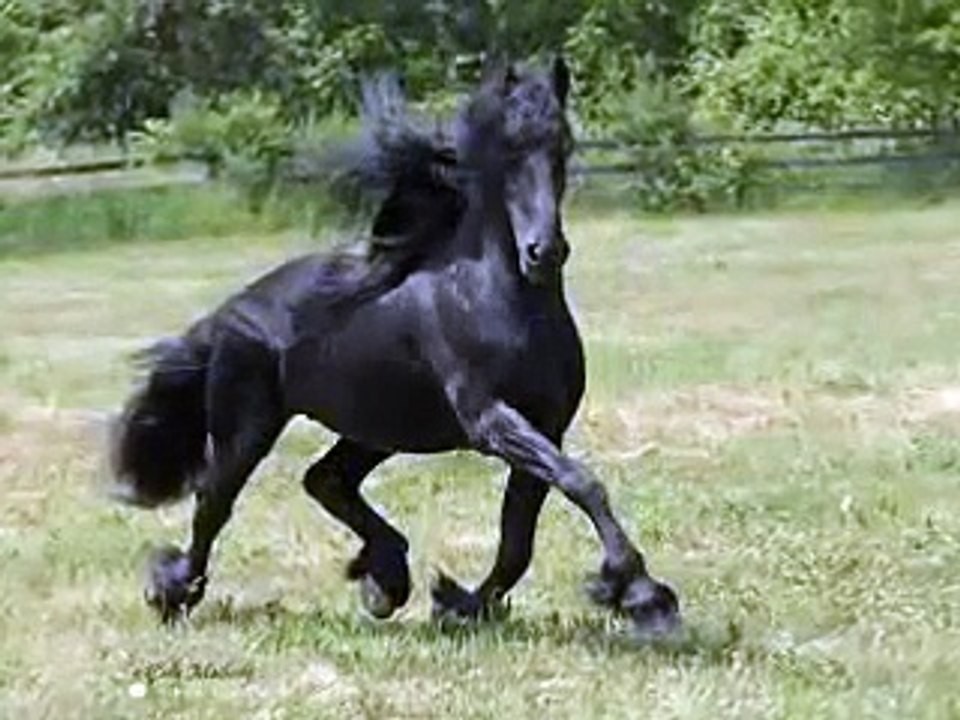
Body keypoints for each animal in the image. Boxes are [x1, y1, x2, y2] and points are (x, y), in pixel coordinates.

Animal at [110, 58, 681, 637]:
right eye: (508, 150)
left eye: (563, 144)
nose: (544, 252)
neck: (494, 299)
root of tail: (230, 311)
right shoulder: (491, 421)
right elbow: (582, 483)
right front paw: (643, 597)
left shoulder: (546, 425)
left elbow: (518, 539)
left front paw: (461, 603)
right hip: (248, 429)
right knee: (215, 503)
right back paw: (173, 593)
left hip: (377, 427)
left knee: (325, 479)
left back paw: (384, 580)